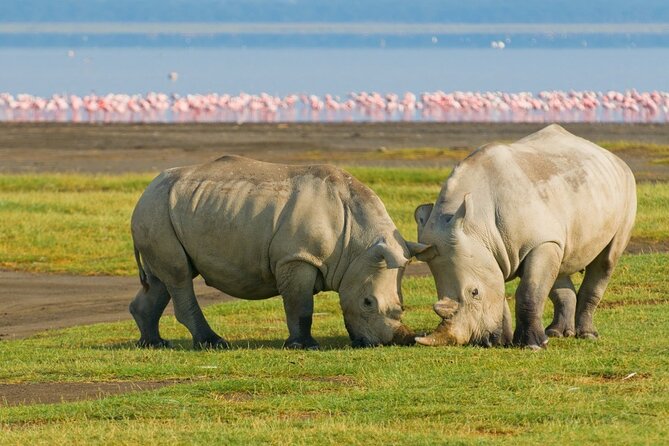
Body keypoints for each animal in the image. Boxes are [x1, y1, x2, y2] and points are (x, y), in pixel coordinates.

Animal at [130, 155, 422, 350]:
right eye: (368, 302)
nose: (391, 341)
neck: (358, 244)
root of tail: (146, 191)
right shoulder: (296, 257)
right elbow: (300, 305)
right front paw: (304, 346)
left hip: (165, 210)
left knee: (163, 278)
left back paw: (154, 343)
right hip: (156, 209)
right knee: (178, 275)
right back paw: (213, 343)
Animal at [413, 124, 636, 349]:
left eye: (474, 292)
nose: (482, 342)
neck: (477, 225)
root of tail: (611, 156)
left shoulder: (539, 242)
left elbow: (529, 291)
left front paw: (532, 345)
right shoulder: (490, 252)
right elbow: (500, 290)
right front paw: (504, 341)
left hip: (627, 186)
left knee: (606, 261)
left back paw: (587, 335)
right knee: (560, 262)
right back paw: (556, 333)